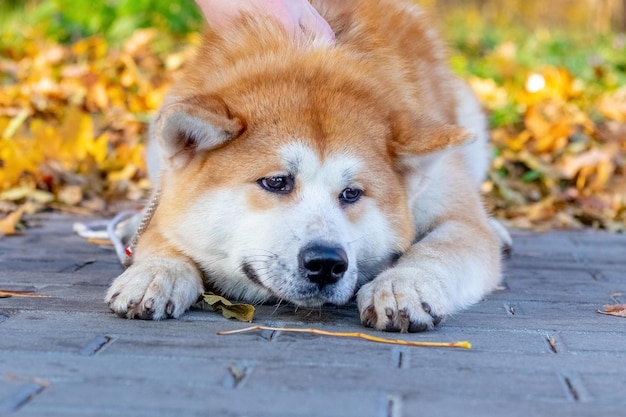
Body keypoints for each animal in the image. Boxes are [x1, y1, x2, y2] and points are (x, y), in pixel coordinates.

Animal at [106, 0, 502, 332]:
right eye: (276, 182)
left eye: (352, 193)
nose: (326, 262)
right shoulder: (170, 197)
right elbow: (161, 236)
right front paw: (157, 272)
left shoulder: (459, 218)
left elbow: (438, 248)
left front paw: (402, 283)